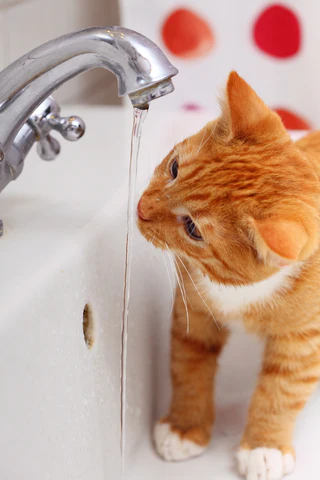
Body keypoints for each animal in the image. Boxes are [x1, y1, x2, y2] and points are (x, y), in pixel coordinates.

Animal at [136, 72, 320, 480]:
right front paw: (185, 427)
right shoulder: (193, 310)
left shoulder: (304, 340)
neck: (242, 292)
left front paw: (265, 447)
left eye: (193, 229)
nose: (140, 209)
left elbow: (281, 391)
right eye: (174, 168)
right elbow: (188, 368)